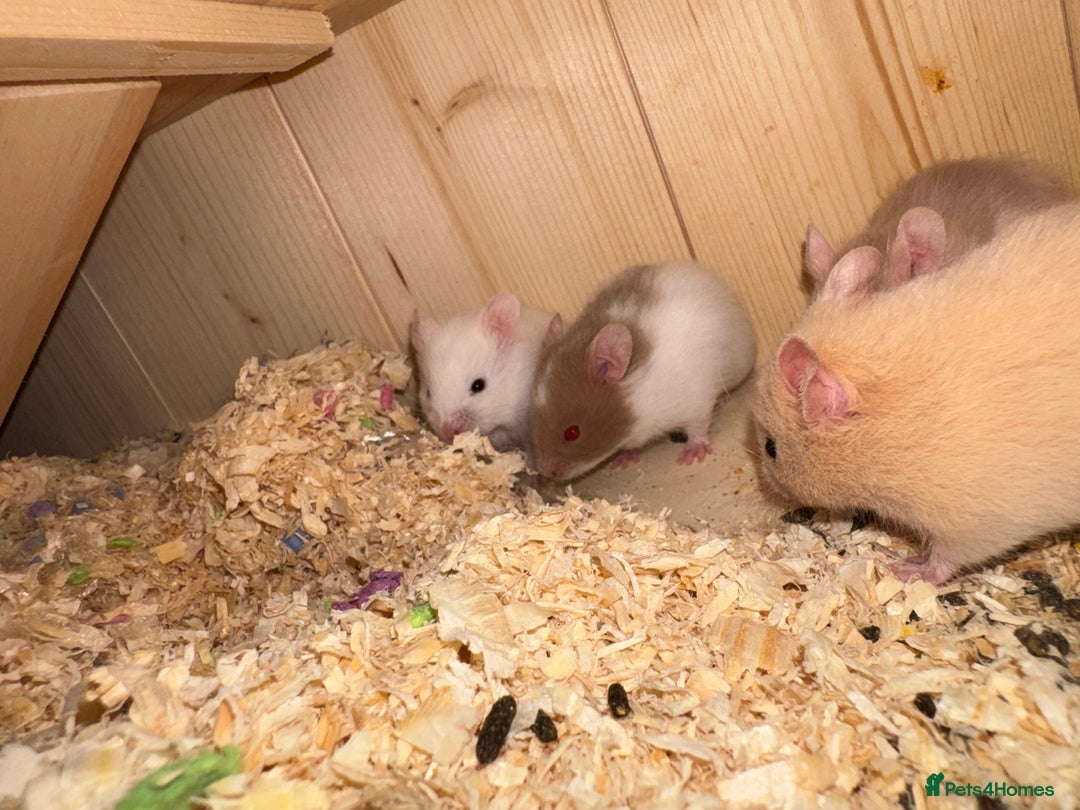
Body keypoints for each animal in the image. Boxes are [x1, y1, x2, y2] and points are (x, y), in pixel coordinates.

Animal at [530, 261, 757, 481]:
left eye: (572, 432)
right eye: (534, 422)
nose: (545, 472)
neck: (637, 406)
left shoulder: (695, 403)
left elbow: (697, 427)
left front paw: (691, 457)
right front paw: (623, 462)